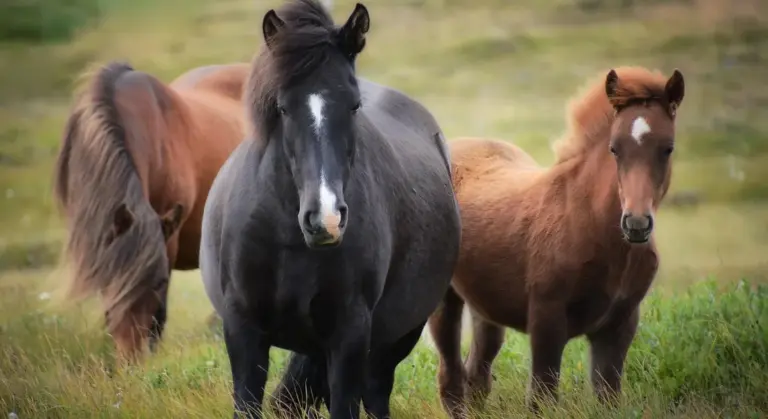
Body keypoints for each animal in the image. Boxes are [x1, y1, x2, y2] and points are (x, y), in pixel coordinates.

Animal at [199, 1, 461, 418]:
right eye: (282, 107)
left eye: (354, 105)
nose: (326, 220)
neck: (287, 240)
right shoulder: (243, 331)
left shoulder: (349, 336)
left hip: (396, 338)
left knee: (376, 394)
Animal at [427, 66, 685, 417]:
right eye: (614, 148)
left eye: (668, 148)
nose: (635, 224)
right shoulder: (546, 320)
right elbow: (542, 397)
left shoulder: (619, 325)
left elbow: (607, 397)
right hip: (444, 300)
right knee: (451, 378)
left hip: (486, 306)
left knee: (476, 375)